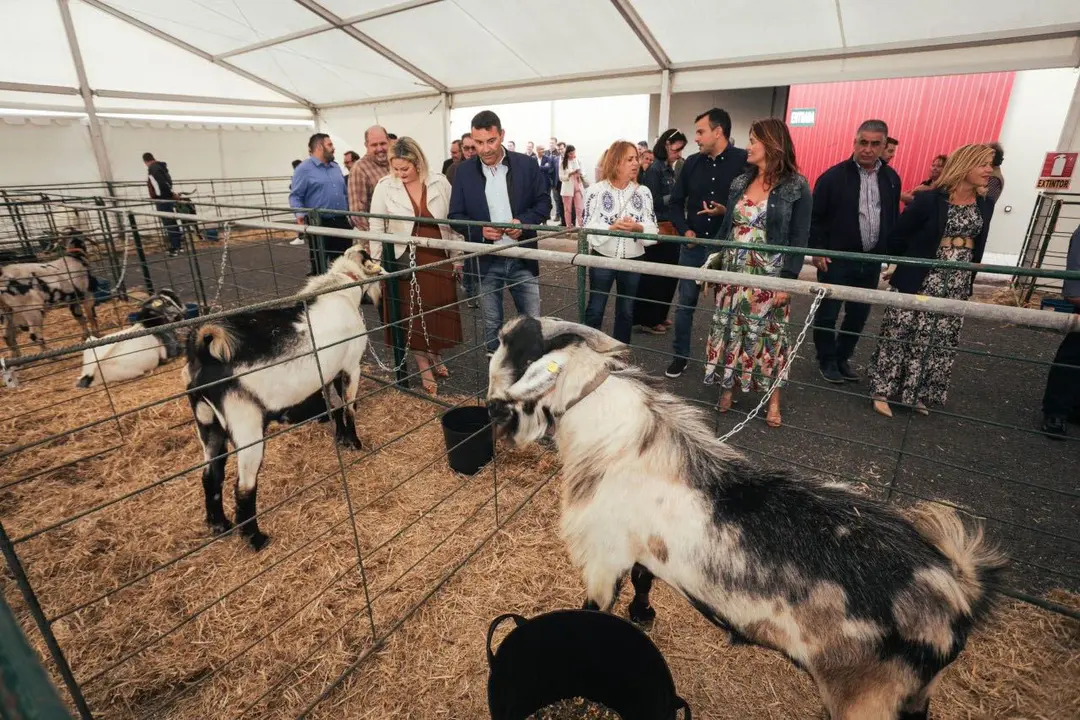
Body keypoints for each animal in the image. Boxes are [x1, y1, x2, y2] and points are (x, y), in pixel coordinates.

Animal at [1, 227, 98, 358]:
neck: (75, 257)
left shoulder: (72, 300)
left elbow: (80, 318)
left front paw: (86, 336)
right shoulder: (87, 294)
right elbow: (90, 316)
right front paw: (96, 334)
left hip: (8, 313)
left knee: (7, 337)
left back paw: (17, 358)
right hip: (31, 310)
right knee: (34, 336)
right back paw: (52, 355)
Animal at [183, 245, 386, 548]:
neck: (340, 290)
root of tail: (204, 354)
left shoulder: (329, 370)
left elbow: (335, 406)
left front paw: (340, 438)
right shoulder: (351, 365)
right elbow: (349, 407)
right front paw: (354, 442)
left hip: (207, 424)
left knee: (211, 475)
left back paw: (219, 525)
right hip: (246, 426)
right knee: (243, 487)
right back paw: (256, 539)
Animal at [486, 317, 1006, 720]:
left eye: (512, 345)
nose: (492, 411)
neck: (613, 439)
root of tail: (956, 592)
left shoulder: (601, 557)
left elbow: (592, 615)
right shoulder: (639, 548)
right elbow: (644, 579)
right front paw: (644, 614)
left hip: (868, 698)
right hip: (911, 695)